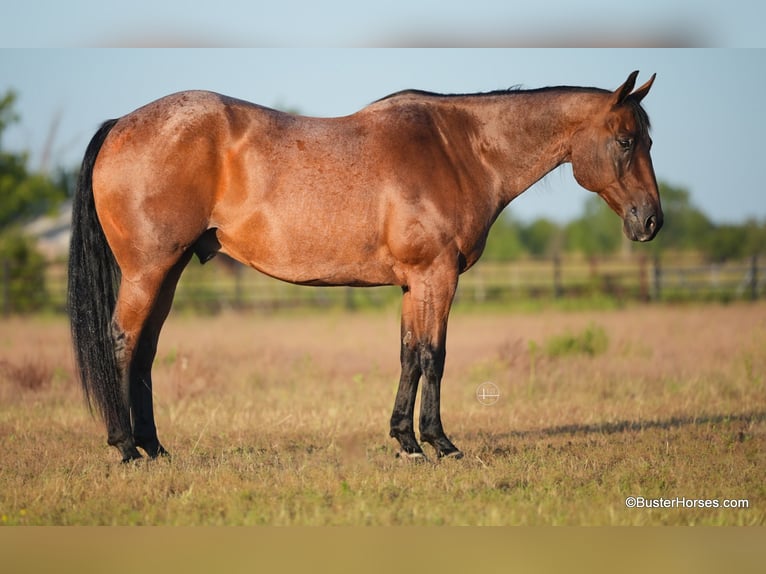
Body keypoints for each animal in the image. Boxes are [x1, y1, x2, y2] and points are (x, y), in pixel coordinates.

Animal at [69, 71, 664, 464]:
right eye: (626, 140)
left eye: (648, 139)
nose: (651, 220)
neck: (460, 150)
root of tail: (121, 124)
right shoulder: (437, 276)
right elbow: (434, 357)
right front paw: (440, 443)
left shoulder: (413, 283)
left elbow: (408, 355)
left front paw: (405, 440)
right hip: (148, 271)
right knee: (122, 342)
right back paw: (126, 447)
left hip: (168, 273)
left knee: (145, 351)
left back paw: (154, 447)